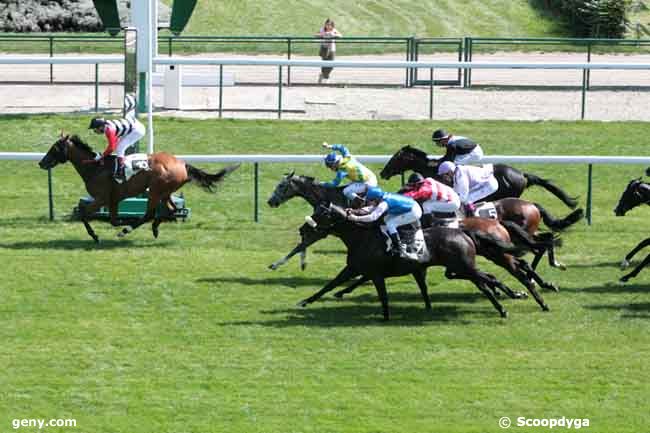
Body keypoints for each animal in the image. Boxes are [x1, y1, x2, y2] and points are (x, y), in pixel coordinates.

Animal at [37, 133, 238, 241]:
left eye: (54, 148)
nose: (41, 162)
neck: (95, 167)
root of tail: (182, 164)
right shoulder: (113, 199)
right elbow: (112, 219)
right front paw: (118, 224)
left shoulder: (102, 198)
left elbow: (84, 213)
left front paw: (95, 235)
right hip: (165, 192)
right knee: (171, 210)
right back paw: (154, 228)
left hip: (156, 190)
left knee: (151, 214)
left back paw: (128, 230)